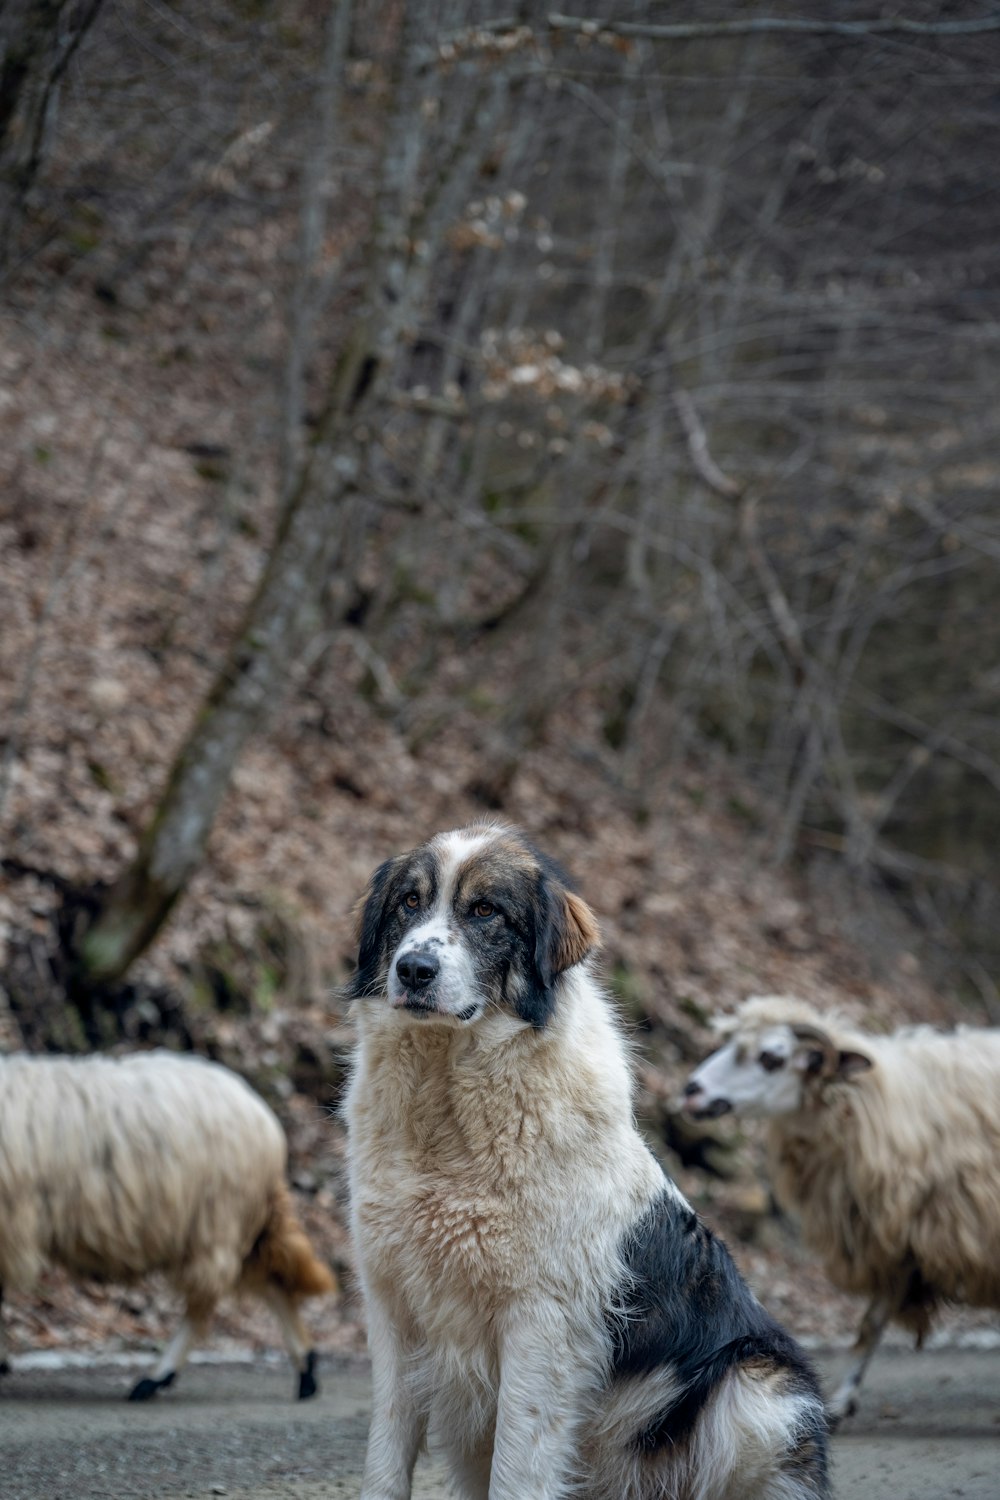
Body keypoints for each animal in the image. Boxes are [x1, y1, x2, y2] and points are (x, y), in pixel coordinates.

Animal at [0, 1050, 335, 1398]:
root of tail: (262, 1115)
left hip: (214, 1226)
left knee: (204, 1305)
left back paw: (157, 1376)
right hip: (238, 1228)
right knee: (272, 1282)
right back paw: (306, 1370)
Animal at [344, 828, 827, 1494]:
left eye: (485, 911)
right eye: (408, 903)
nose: (413, 969)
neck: (446, 1102)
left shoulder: (541, 1324)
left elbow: (517, 1469)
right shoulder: (393, 1308)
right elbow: (385, 1461)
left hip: (756, 1387)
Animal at [680, 996, 1000, 1416]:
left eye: (771, 1058)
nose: (691, 1090)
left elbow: (873, 1322)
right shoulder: (896, 1239)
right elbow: (870, 1324)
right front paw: (842, 1401)